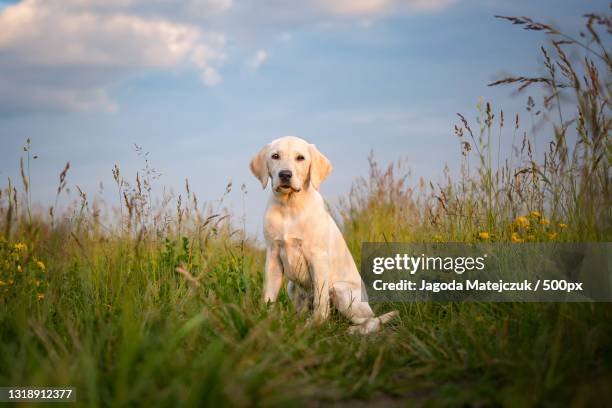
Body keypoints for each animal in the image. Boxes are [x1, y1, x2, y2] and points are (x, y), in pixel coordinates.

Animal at [249, 135, 396, 334]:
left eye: (300, 158)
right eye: (275, 156)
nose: (285, 175)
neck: (290, 206)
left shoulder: (317, 257)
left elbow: (320, 302)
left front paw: (315, 326)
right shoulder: (273, 256)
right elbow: (268, 296)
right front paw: (265, 322)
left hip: (341, 291)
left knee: (370, 320)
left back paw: (353, 330)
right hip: (293, 287)